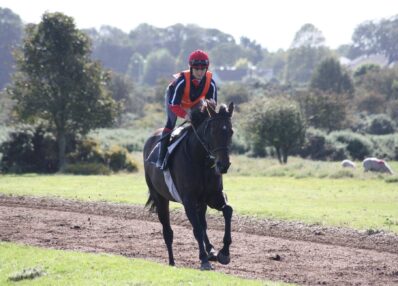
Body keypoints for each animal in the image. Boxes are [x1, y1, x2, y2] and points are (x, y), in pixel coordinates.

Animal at [143, 101, 235, 270]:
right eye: (213, 131)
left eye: (230, 131)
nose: (223, 165)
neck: (201, 161)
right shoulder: (189, 200)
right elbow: (196, 229)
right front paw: (203, 260)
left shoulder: (213, 196)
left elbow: (227, 211)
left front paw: (224, 252)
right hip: (160, 198)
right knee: (168, 231)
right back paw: (172, 262)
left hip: (201, 202)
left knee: (203, 223)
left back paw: (211, 250)